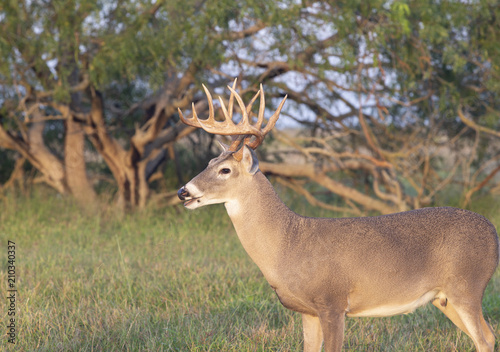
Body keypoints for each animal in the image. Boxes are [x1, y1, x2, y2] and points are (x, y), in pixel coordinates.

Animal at [176, 80, 496, 352]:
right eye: (209, 162)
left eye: (225, 170)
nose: (183, 191)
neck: (287, 242)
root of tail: (494, 232)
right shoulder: (308, 311)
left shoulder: (332, 301)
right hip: (444, 299)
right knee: (490, 335)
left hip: (466, 287)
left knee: (485, 339)